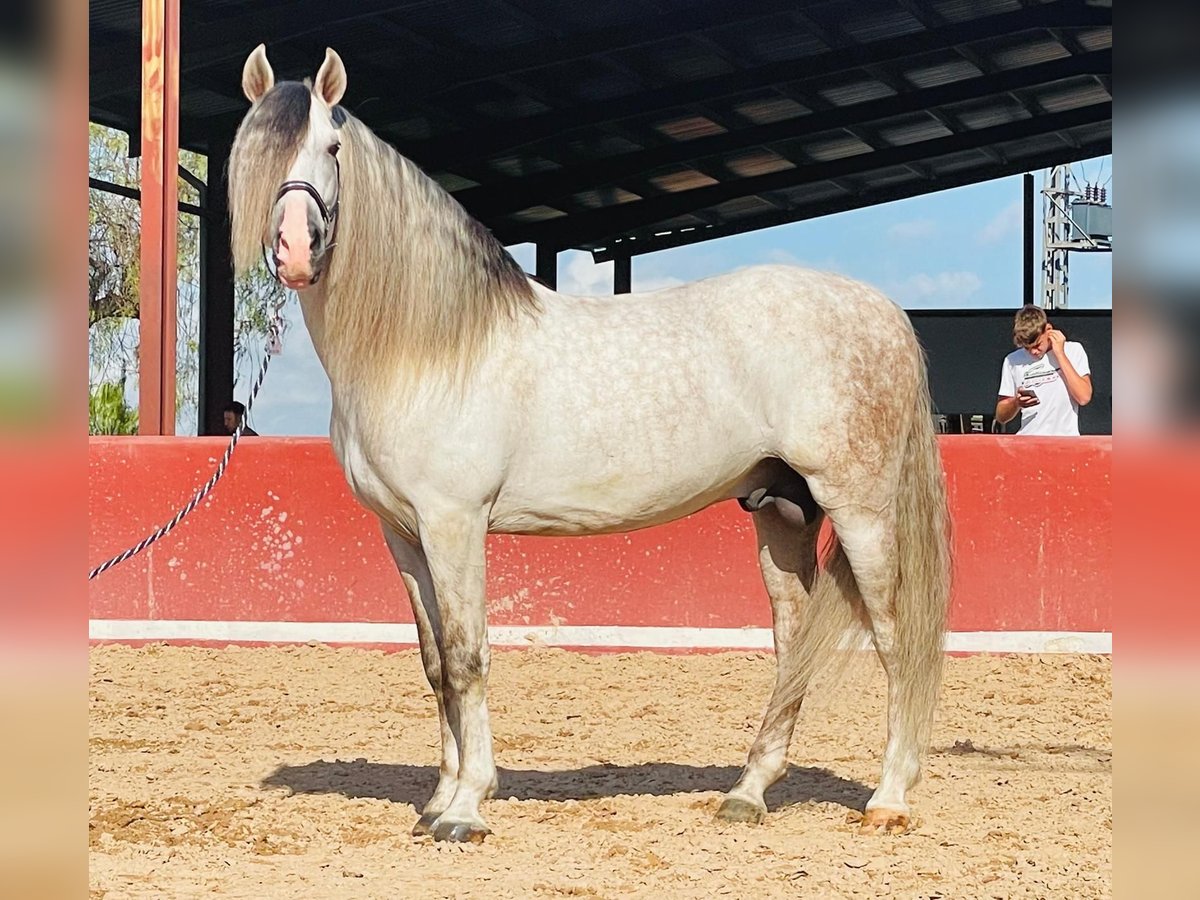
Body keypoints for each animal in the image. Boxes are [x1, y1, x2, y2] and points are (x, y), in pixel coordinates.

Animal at [229, 44, 950, 844]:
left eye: (331, 147)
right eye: (253, 150)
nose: (295, 250)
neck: (430, 348)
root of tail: (880, 308)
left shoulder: (455, 524)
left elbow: (469, 656)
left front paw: (468, 807)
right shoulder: (403, 534)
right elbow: (435, 663)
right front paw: (437, 800)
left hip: (861, 511)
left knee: (895, 635)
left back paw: (889, 797)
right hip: (781, 509)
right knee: (792, 638)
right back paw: (748, 791)